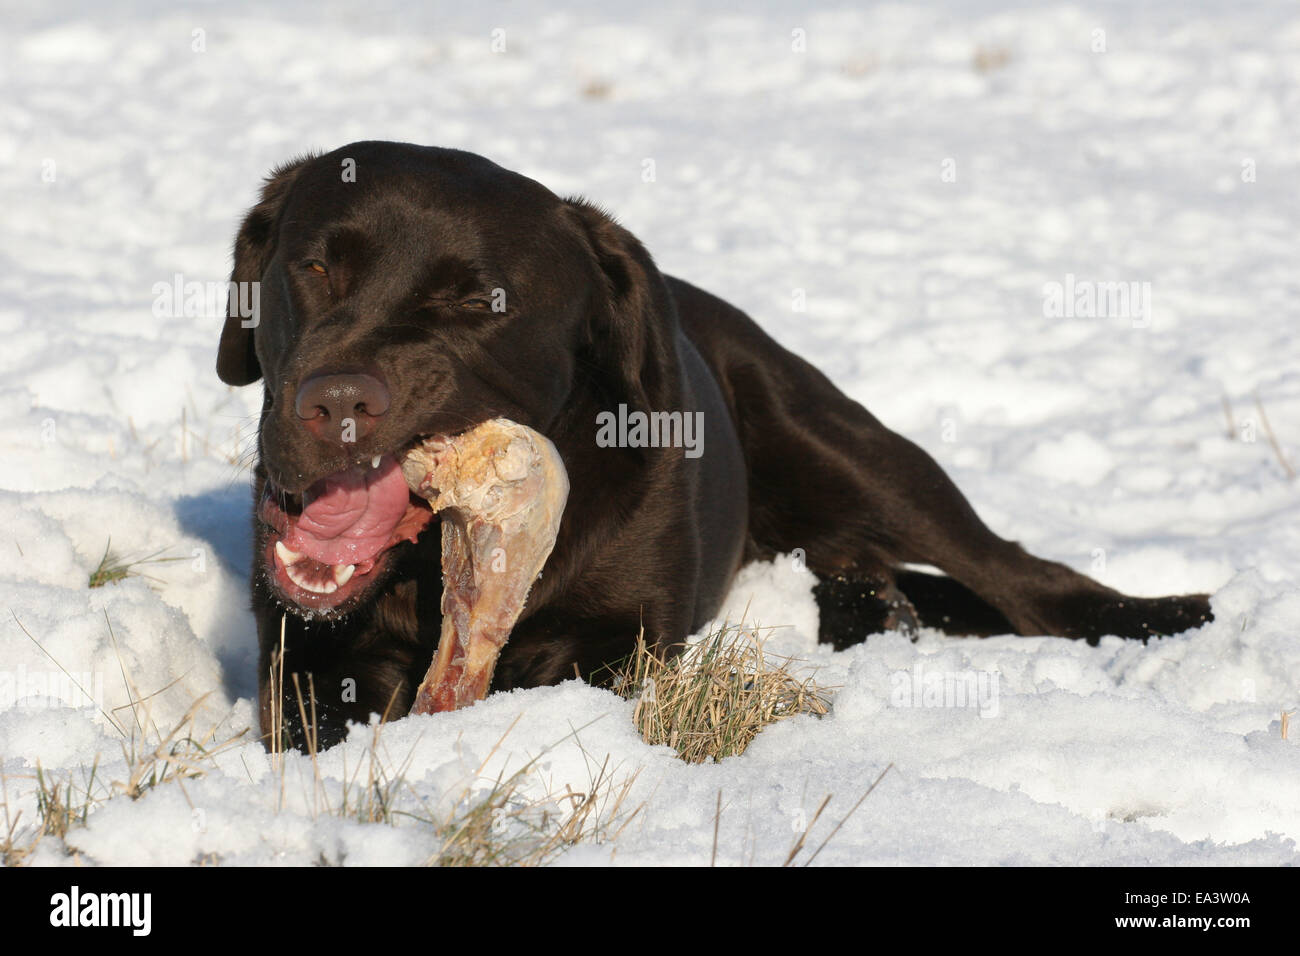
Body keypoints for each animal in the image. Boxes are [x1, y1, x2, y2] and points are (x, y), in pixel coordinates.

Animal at [215, 143, 1216, 754]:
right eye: (314, 266)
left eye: (479, 302)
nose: (335, 400)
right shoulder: (301, 653)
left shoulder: (623, 639)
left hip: (849, 451)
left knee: (1020, 574)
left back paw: (1169, 614)